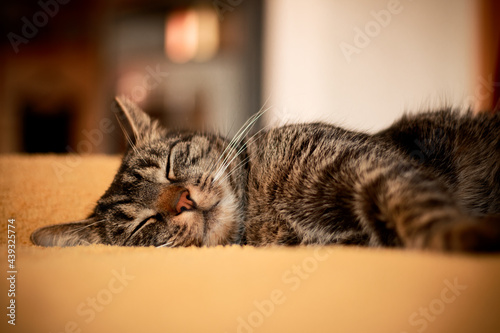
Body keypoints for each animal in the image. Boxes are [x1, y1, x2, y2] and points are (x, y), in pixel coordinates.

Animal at [30, 96, 500, 252]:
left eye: (171, 165)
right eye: (143, 224)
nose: (182, 201)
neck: (262, 208)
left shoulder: (366, 163)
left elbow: (414, 202)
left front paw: (462, 235)